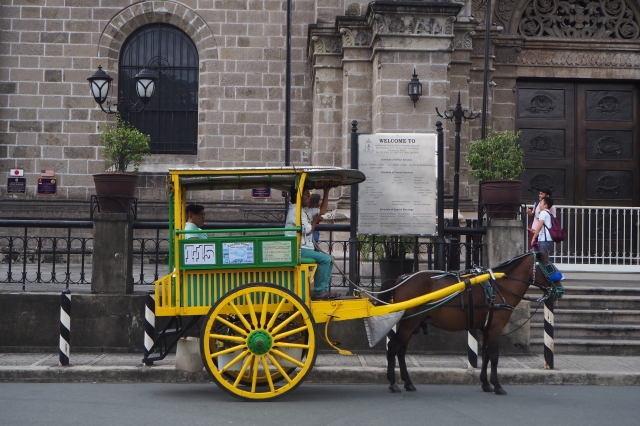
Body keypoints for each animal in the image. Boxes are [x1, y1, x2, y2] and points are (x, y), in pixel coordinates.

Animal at [380, 253, 560, 396]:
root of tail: (400, 279)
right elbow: (494, 356)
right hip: (410, 323)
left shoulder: (487, 328)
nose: (560, 290)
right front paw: (497, 385)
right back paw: (392, 383)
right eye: (548, 266)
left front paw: (486, 383)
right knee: (394, 347)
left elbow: (486, 354)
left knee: (401, 350)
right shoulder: (496, 328)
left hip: (411, 323)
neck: (500, 287)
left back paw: (407, 382)